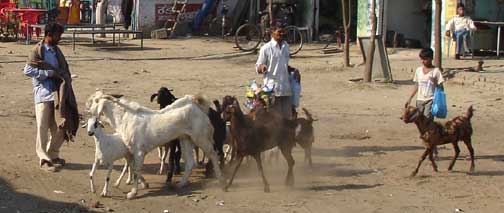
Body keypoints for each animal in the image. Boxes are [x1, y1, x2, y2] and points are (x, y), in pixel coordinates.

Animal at [87, 91, 225, 200]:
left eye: (96, 100)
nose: (86, 105)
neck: (125, 118)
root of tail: (196, 105)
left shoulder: (138, 151)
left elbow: (136, 171)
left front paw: (133, 193)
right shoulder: (131, 151)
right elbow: (133, 167)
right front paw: (143, 184)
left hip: (200, 137)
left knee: (213, 155)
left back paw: (220, 180)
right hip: (185, 139)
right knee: (190, 162)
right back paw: (180, 184)